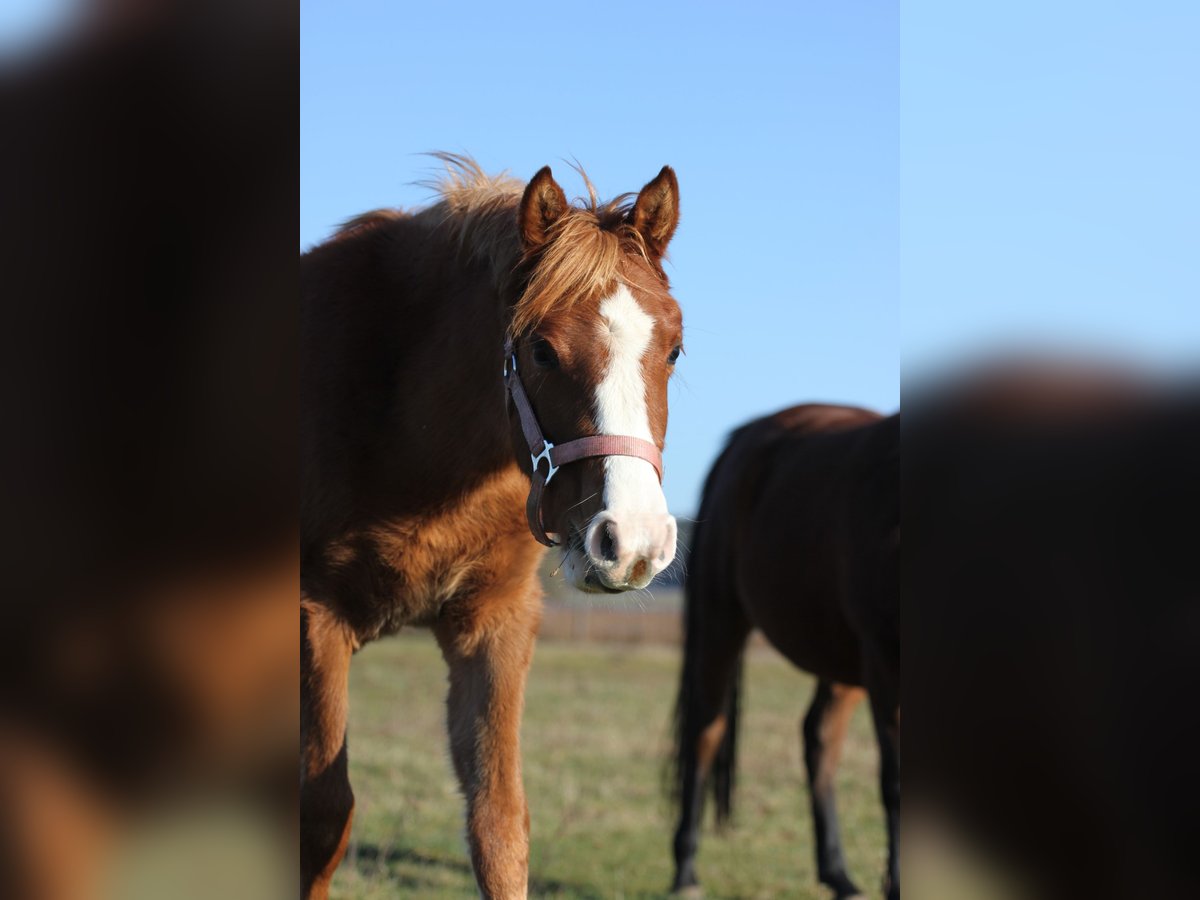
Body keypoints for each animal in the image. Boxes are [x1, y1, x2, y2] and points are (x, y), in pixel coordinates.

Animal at [300, 158, 686, 897]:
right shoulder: (314, 618)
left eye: (675, 349)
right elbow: (324, 816)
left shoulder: (496, 622)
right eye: (540, 350)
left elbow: (499, 824)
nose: (632, 542)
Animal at [667, 408, 902, 900]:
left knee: (819, 738)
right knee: (705, 733)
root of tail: (743, 438)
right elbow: (895, 783)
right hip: (721, 621)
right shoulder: (885, 665)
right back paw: (685, 872)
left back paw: (838, 875)